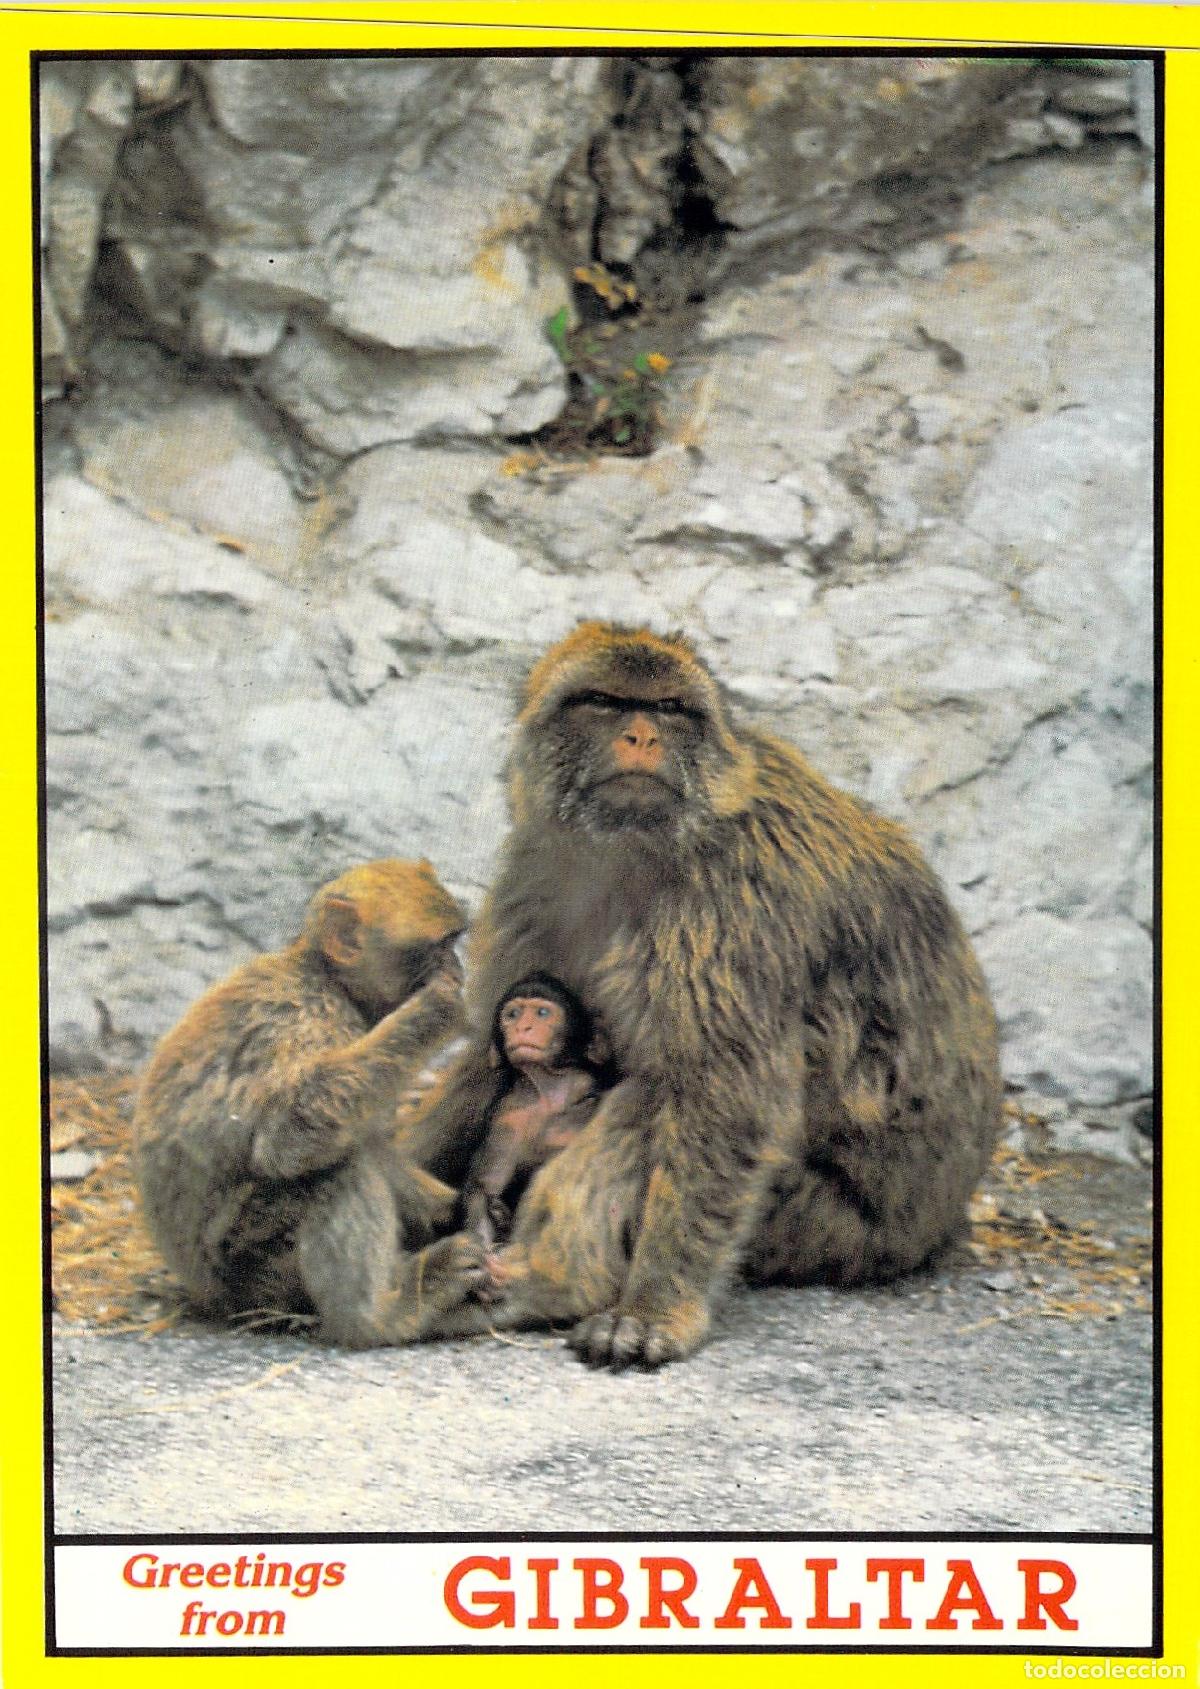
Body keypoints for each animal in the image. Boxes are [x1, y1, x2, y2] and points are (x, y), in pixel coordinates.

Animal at [133, 858, 488, 1348]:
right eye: (440, 946)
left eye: (453, 941)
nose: (457, 967)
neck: (329, 980)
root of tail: (208, 1296)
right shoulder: (304, 1019)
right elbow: (286, 1138)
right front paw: (436, 1008)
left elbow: (370, 1139)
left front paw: (448, 1208)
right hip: (253, 1266)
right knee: (335, 1172)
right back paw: (379, 1317)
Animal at [461, 973, 614, 1259]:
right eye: (513, 1014)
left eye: (542, 1013)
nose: (523, 1027)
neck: (547, 1093)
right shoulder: (507, 1115)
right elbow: (485, 1187)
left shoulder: (590, 1092)